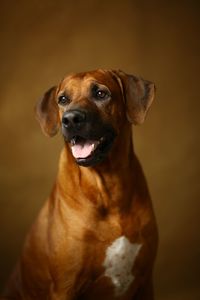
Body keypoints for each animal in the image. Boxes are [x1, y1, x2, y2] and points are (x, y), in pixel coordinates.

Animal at [1, 69, 158, 298]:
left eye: (101, 93)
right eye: (63, 99)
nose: (71, 119)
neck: (109, 187)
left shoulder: (145, 282)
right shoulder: (64, 287)